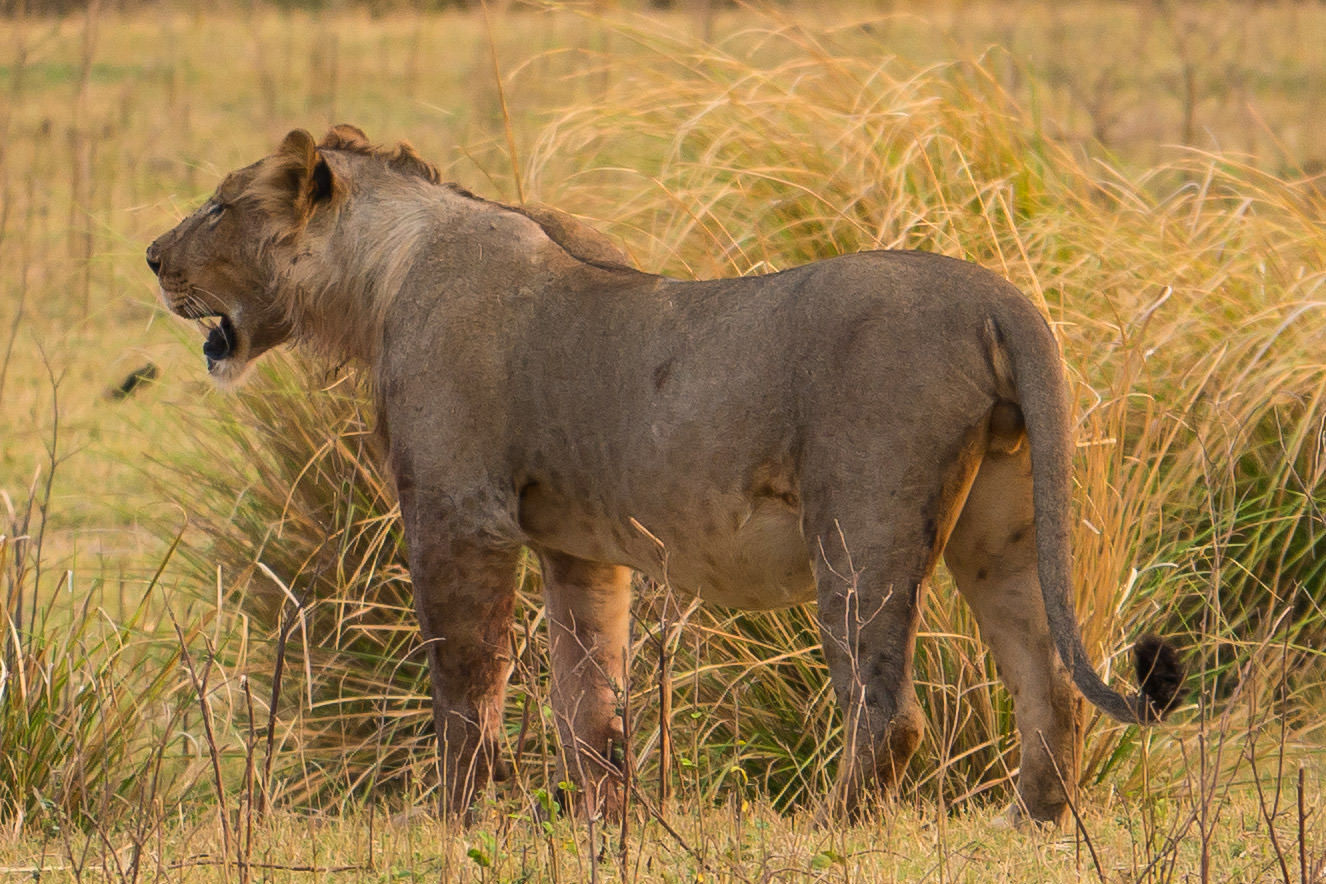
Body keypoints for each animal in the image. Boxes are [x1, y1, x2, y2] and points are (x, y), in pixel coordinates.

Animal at [150, 125, 1188, 832]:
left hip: (861, 526)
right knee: (1048, 683)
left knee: (890, 712)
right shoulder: (578, 547)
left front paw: (453, 820)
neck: (379, 278)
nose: (152, 257)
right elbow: (586, 697)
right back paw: (1032, 821)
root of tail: (996, 292)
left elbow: (464, 682)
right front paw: (607, 822)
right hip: (1001, 529)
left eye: (219, 205)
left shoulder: (456, 516)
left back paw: (826, 826)